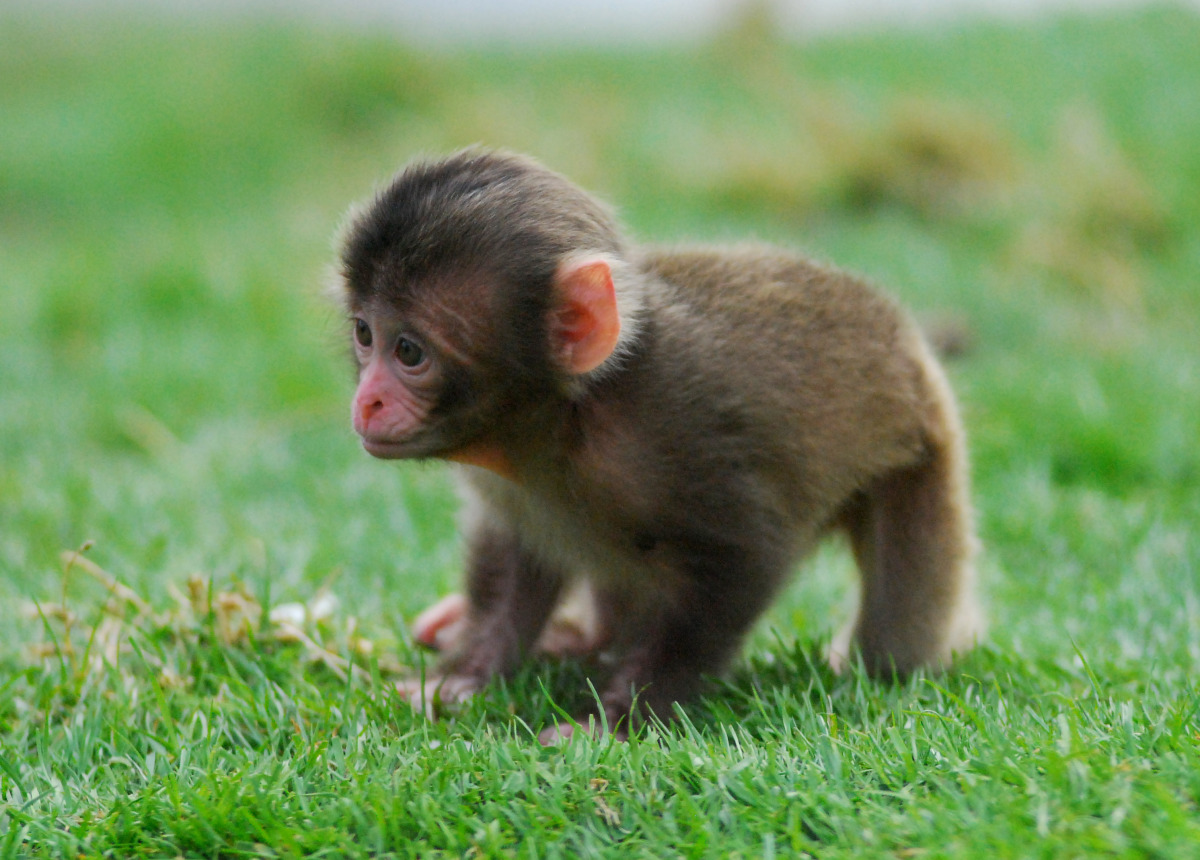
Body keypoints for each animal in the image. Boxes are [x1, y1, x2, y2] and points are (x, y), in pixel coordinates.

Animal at [333, 147, 979, 738]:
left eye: (409, 351)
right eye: (365, 334)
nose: (366, 400)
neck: (565, 418)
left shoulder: (679, 429)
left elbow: (742, 562)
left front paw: (618, 719)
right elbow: (516, 556)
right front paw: (464, 676)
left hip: (924, 454)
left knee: (894, 635)